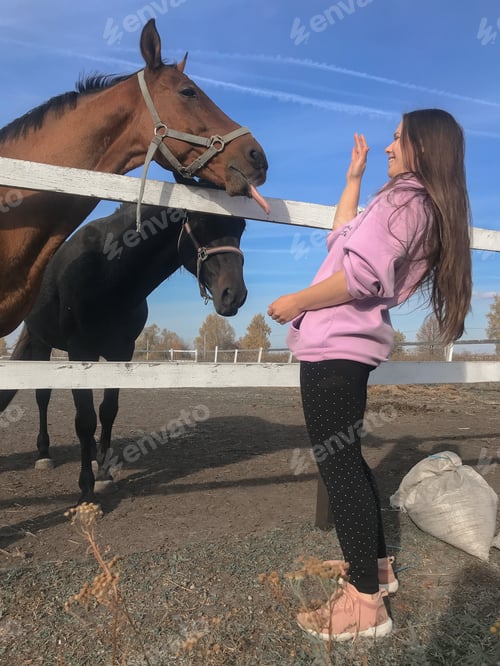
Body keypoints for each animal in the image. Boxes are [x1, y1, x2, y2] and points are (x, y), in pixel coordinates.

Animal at [0, 197, 247, 506]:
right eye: (202, 222)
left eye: (242, 226)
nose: (234, 295)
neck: (108, 272)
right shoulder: (80, 351)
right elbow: (85, 420)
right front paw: (86, 490)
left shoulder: (121, 352)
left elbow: (108, 412)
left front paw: (104, 473)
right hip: (42, 343)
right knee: (42, 398)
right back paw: (44, 454)